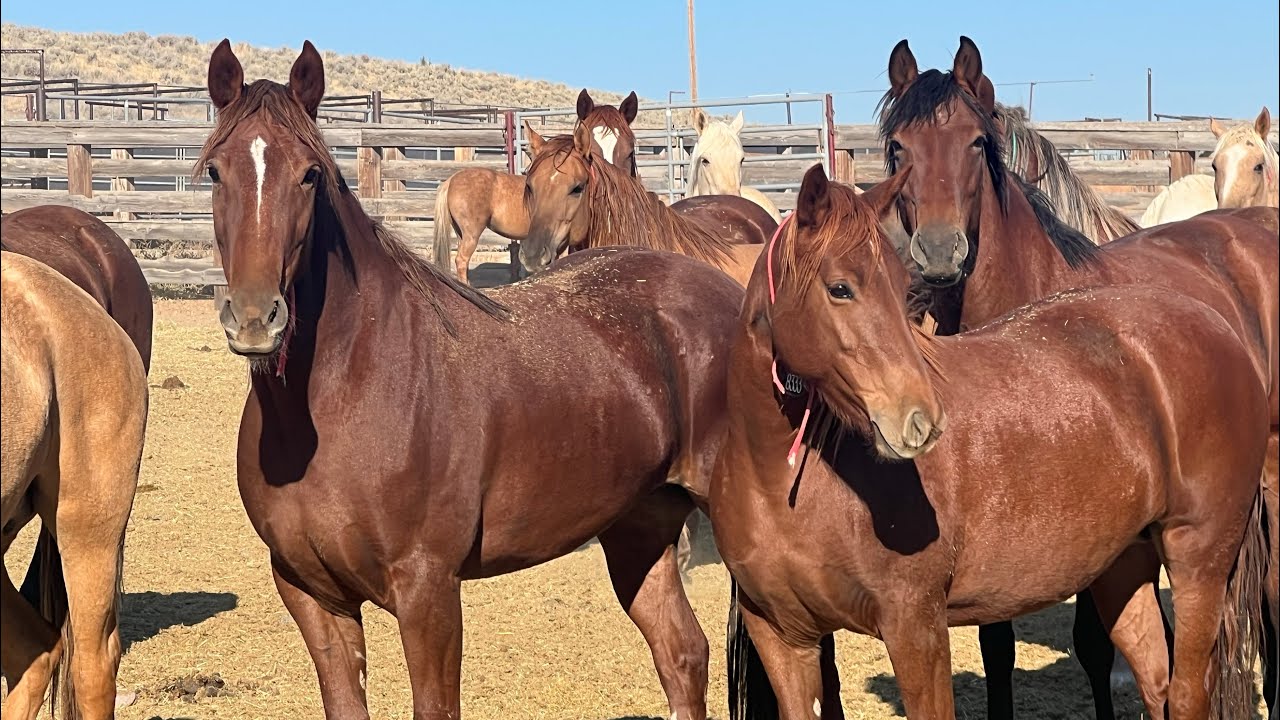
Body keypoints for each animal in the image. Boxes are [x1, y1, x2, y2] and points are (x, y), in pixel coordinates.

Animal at [714, 165, 1270, 720]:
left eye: (904, 287)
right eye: (840, 288)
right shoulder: (784, 639)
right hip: (1124, 567)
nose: (921, 419)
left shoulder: (915, 627)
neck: (784, 485)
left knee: (1187, 691)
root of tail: (1218, 326)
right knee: (1156, 683)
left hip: (1198, 560)